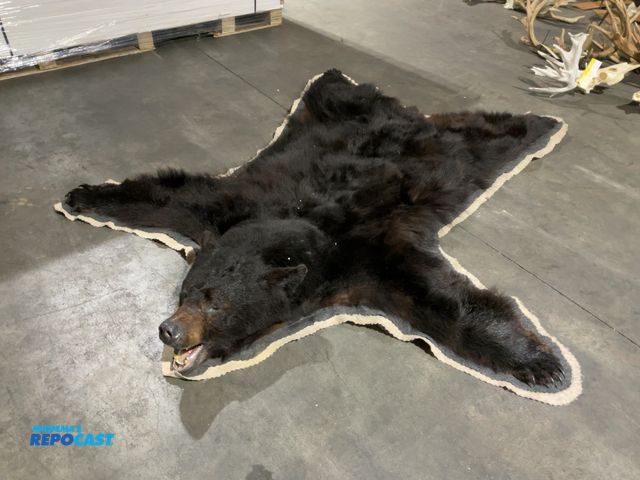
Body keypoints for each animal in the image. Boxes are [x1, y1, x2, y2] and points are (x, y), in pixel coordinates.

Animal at [63, 69, 564, 386]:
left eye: (215, 305)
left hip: (461, 154)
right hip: (329, 113)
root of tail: (404, 113)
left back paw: (541, 122)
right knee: (334, 92)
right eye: (185, 293)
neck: (304, 230)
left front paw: (544, 364)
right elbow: (169, 198)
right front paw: (83, 196)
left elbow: (440, 301)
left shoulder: (369, 254)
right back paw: (332, 77)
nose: (169, 331)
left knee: (489, 135)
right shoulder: (231, 210)